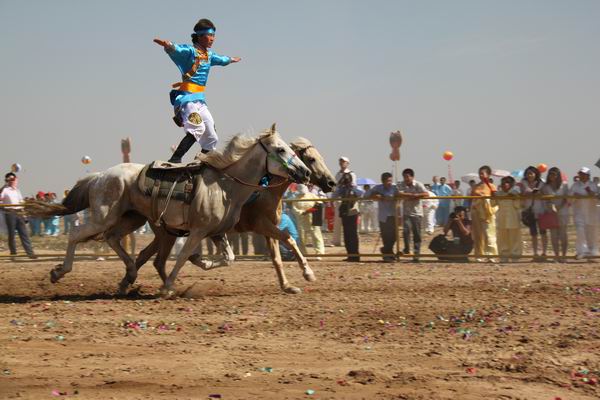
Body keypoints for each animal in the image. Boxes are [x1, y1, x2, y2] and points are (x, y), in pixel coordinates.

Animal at [24, 126, 310, 296]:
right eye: (281, 149)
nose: (305, 172)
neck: (225, 186)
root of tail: (99, 176)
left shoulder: (217, 232)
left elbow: (227, 258)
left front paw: (200, 262)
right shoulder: (198, 231)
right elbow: (182, 257)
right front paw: (169, 286)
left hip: (131, 218)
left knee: (115, 239)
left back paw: (129, 273)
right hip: (104, 216)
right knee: (77, 234)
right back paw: (59, 272)